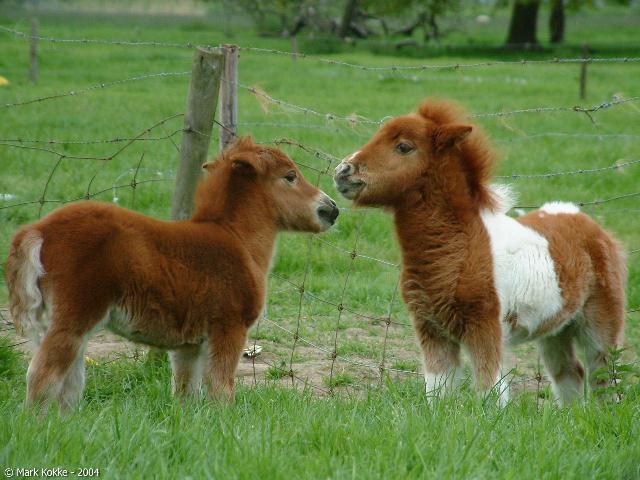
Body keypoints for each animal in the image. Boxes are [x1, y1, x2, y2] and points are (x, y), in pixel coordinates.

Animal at [5, 136, 339, 409]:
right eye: (290, 176)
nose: (331, 209)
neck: (236, 239)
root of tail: (38, 229)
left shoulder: (188, 346)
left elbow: (185, 393)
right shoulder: (229, 327)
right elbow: (221, 390)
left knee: (69, 387)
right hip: (74, 316)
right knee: (43, 376)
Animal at [334, 98, 626, 405]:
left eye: (403, 146)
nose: (343, 172)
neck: (460, 246)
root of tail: (591, 225)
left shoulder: (484, 327)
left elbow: (490, 390)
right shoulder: (431, 329)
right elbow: (438, 390)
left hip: (601, 322)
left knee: (605, 376)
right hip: (555, 328)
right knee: (570, 373)